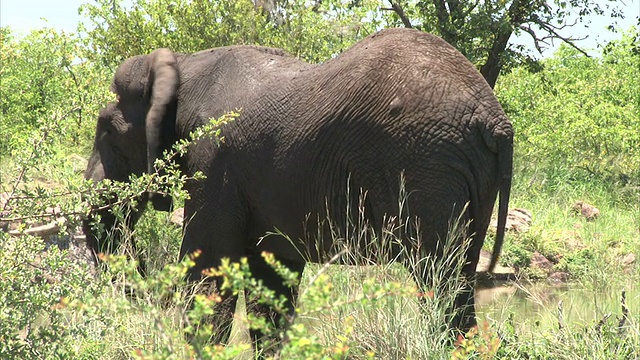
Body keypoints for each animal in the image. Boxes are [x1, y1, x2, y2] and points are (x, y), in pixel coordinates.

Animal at [85, 27, 512, 344]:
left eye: (107, 131)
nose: (143, 276)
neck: (183, 66)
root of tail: (495, 119)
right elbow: (270, 287)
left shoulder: (215, 161)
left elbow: (208, 272)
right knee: (459, 280)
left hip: (427, 165)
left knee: (441, 284)